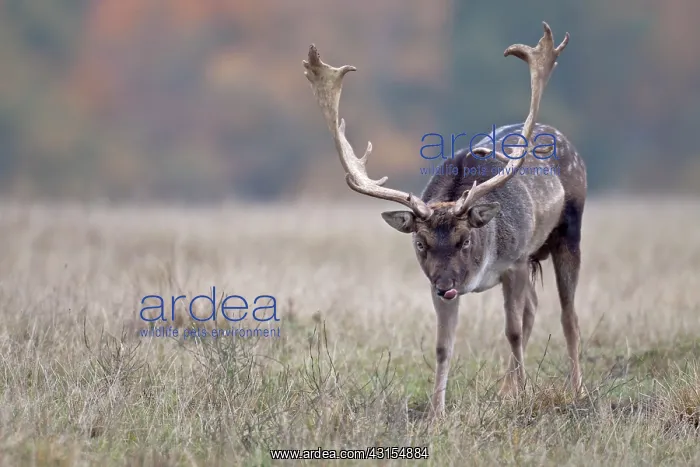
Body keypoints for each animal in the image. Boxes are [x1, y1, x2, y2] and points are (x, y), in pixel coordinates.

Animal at [302, 21, 586, 419]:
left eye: (464, 240)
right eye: (420, 243)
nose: (446, 285)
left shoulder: (514, 261)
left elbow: (512, 331)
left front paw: (525, 396)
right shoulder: (439, 285)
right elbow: (443, 346)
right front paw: (438, 412)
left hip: (568, 233)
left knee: (567, 315)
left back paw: (577, 390)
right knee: (533, 309)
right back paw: (506, 390)